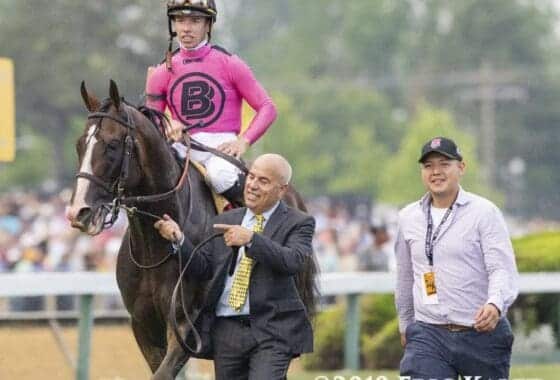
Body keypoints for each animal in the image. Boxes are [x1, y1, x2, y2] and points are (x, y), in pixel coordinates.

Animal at [66, 81, 316, 380]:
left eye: (112, 145)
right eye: (80, 145)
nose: (79, 212)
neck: (153, 249)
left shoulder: (186, 324)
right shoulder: (143, 326)